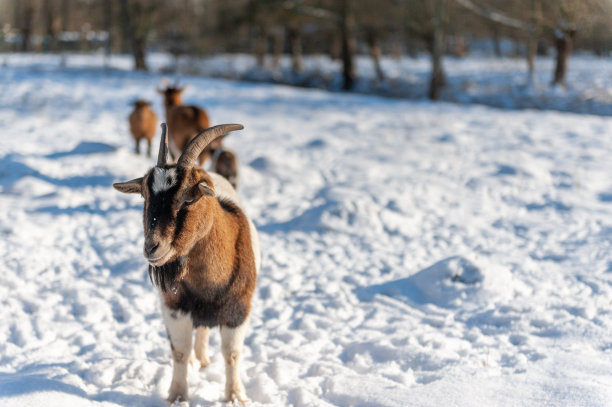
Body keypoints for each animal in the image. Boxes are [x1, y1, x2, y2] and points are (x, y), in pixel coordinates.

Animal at [113, 122, 260, 404]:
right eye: (144, 197)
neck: (208, 285)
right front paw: (178, 396)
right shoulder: (174, 308)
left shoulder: (239, 310)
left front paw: (235, 396)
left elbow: (232, 354)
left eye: (189, 198)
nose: (152, 247)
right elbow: (179, 351)